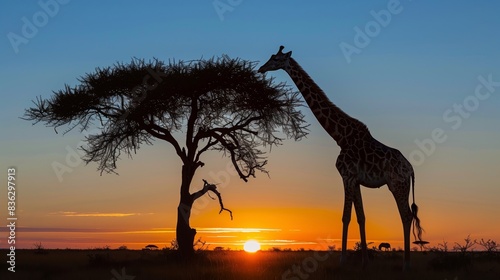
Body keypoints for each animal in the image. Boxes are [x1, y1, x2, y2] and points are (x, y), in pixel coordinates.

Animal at [260, 45, 424, 270]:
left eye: (275, 59)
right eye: (270, 57)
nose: (261, 69)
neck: (340, 136)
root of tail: (411, 169)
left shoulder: (347, 176)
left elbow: (345, 217)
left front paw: (343, 261)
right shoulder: (356, 180)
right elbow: (361, 217)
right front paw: (364, 262)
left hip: (397, 184)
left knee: (406, 216)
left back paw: (406, 264)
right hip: (401, 185)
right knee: (407, 216)